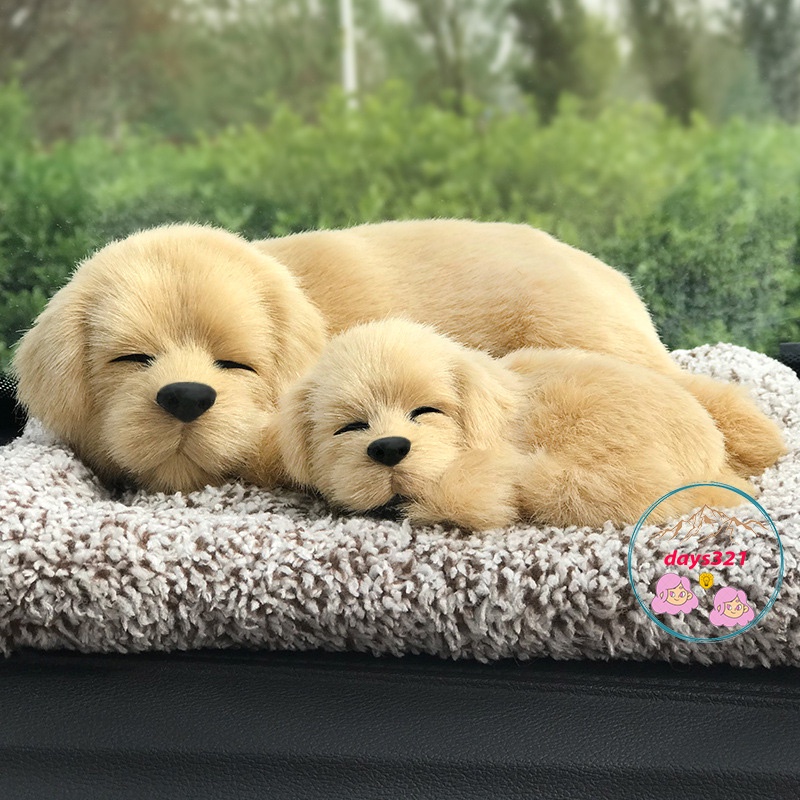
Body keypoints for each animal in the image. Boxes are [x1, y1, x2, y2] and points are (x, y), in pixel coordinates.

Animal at [13, 220, 785, 493]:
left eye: (235, 364)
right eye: (131, 359)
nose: (185, 397)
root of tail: (608, 271)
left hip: (584, 334)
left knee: (702, 393)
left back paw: (758, 440)